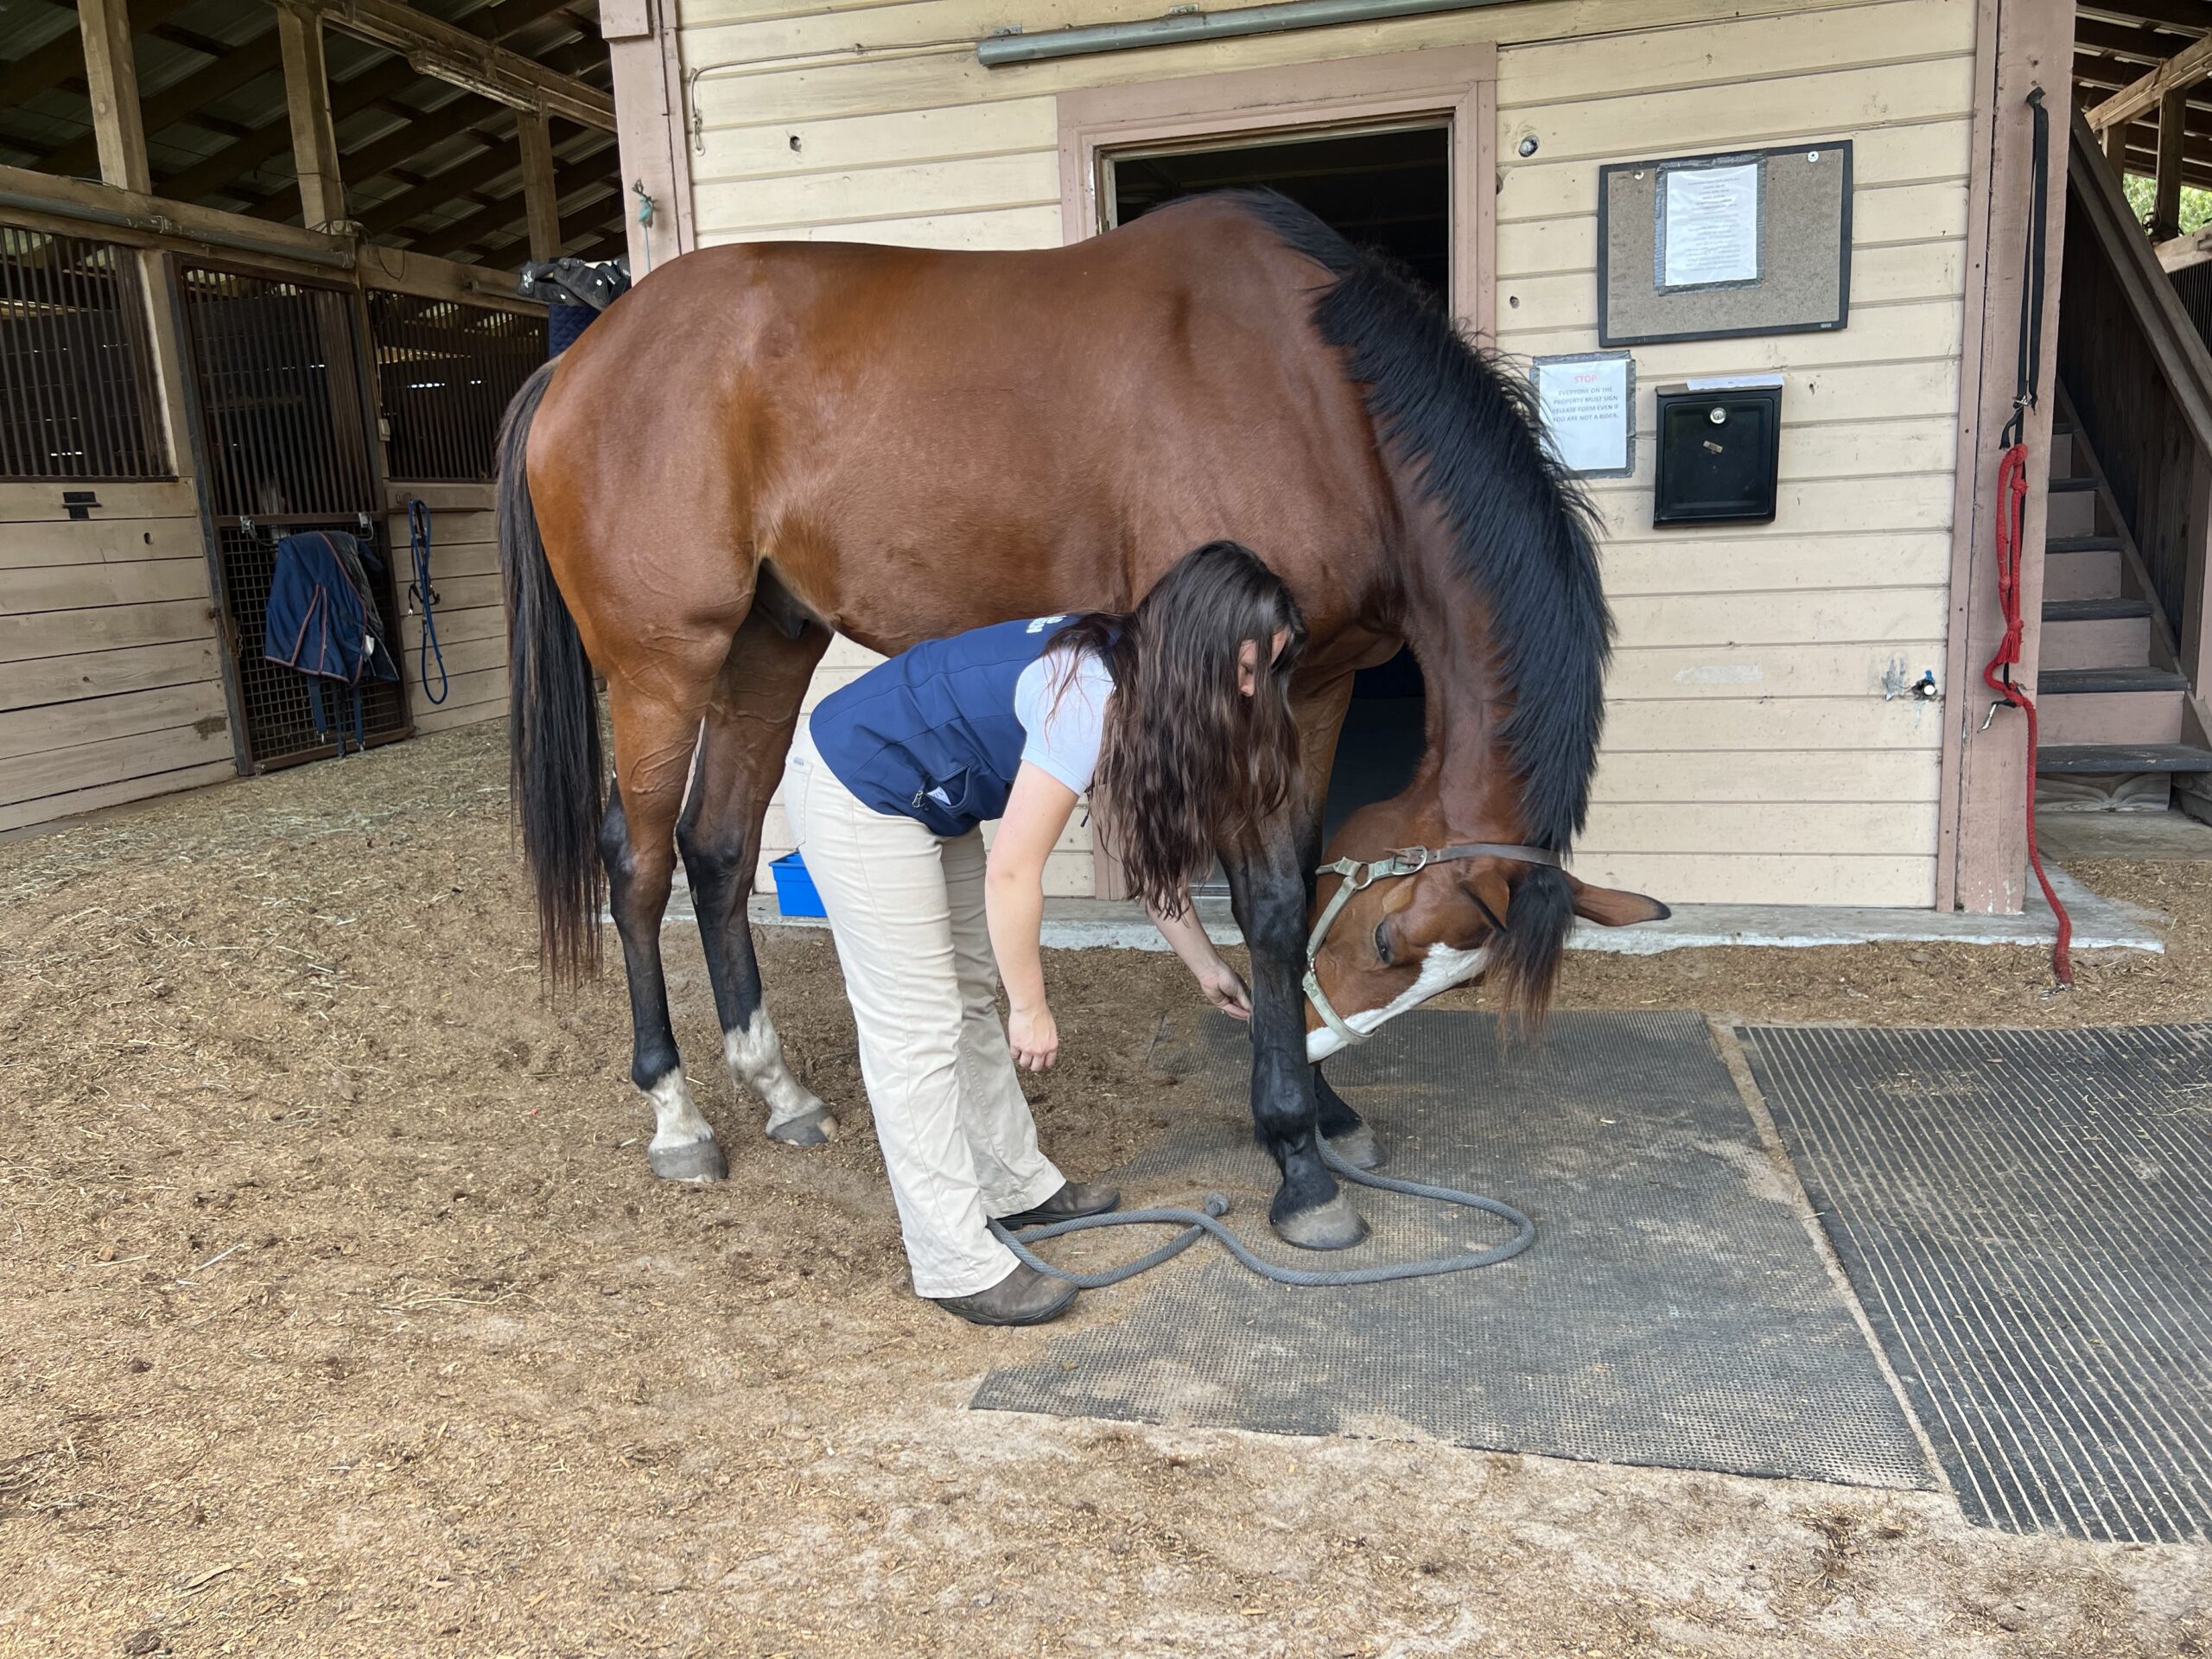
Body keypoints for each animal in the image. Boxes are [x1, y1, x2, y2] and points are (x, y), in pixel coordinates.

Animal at [497, 189, 1667, 1252]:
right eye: (1387, 940)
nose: (1328, 1052)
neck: (1316, 393)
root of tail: (585, 353)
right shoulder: (1246, 687)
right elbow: (1270, 907)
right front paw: (1298, 1154)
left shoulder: (1320, 687)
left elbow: (1289, 894)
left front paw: (1323, 1114)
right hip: (662, 664)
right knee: (638, 863)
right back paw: (677, 1116)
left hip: (768, 643)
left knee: (720, 846)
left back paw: (778, 1089)